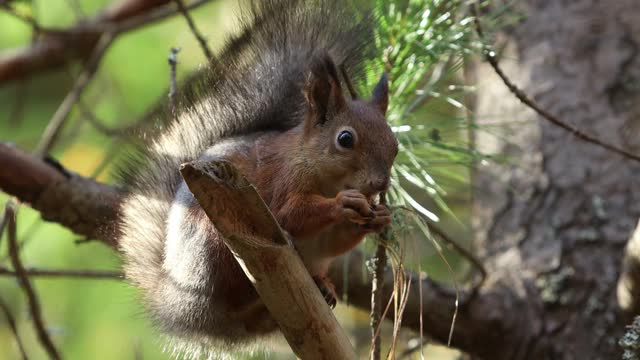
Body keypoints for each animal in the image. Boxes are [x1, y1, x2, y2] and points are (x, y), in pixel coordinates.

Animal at [115, 0, 396, 356]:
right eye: (345, 139)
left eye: (394, 143)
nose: (379, 184)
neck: (324, 176)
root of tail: (188, 310)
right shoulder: (283, 182)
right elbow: (291, 215)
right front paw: (342, 204)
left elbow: (336, 240)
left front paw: (380, 217)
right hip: (212, 244)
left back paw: (323, 287)